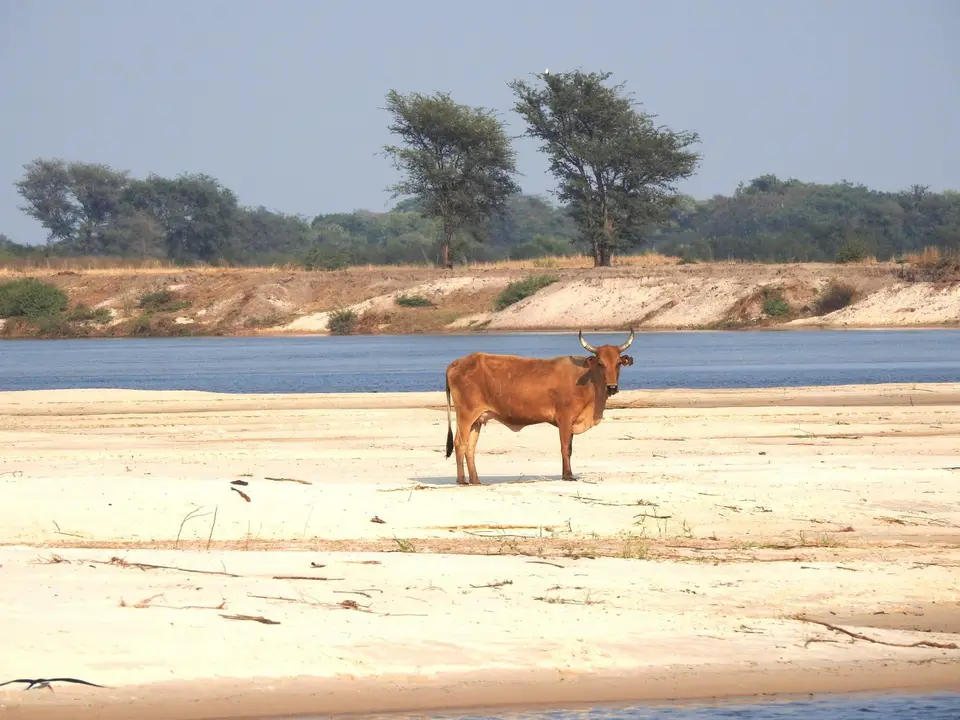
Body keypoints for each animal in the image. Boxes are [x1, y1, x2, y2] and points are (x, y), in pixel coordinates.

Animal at [443, 329, 635, 485]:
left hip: (477, 419)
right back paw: (462, 480)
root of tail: (458, 362)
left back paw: (475, 480)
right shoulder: (565, 418)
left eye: (618, 363)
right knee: (460, 443)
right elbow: (565, 447)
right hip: (465, 415)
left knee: (470, 447)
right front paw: (568, 475)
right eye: (601, 363)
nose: (612, 387)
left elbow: (570, 448)